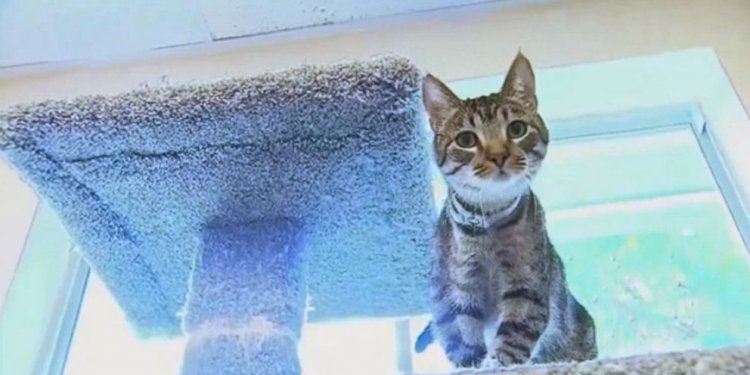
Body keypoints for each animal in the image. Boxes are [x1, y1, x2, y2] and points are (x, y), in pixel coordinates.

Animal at [414, 53, 596, 370]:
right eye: (466, 140)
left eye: (516, 129)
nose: (498, 155)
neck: (488, 221)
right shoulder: (461, 291)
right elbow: (466, 337)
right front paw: (475, 365)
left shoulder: (527, 286)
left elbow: (513, 338)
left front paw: (497, 364)